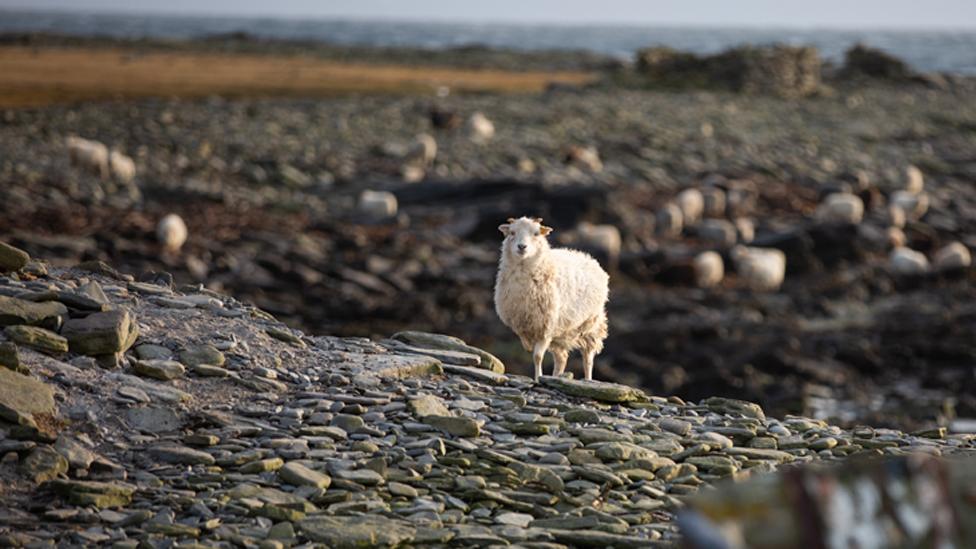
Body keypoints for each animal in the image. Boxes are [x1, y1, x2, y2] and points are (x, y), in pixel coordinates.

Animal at [496, 216, 608, 378]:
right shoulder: (524, 325)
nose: (522, 247)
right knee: (562, 358)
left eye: (536, 233)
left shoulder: (546, 328)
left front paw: (538, 377)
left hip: (591, 325)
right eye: (512, 232)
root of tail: (588, 258)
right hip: (561, 333)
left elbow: (537, 357)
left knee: (588, 357)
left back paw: (587, 378)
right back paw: (557, 376)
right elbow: (528, 346)